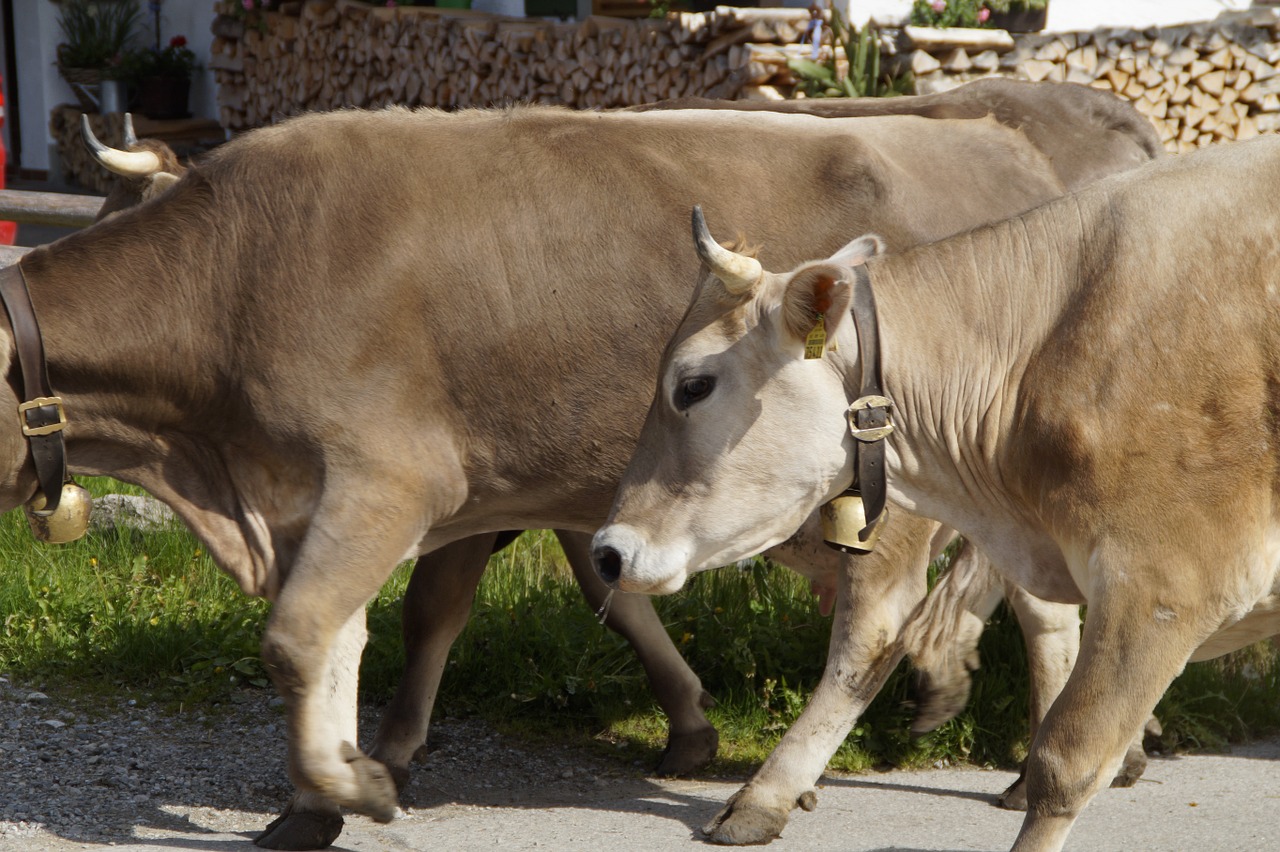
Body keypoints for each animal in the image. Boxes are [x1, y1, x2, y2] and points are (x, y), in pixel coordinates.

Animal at [5, 86, 1152, 844]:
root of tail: (990, 135)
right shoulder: (334, 502)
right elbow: (349, 634)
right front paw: (321, 792)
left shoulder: (398, 482)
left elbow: (308, 635)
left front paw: (358, 781)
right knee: (1042, 605)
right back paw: (1026, 767)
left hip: (889, 490)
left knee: (872, 628)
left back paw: (770, 794)